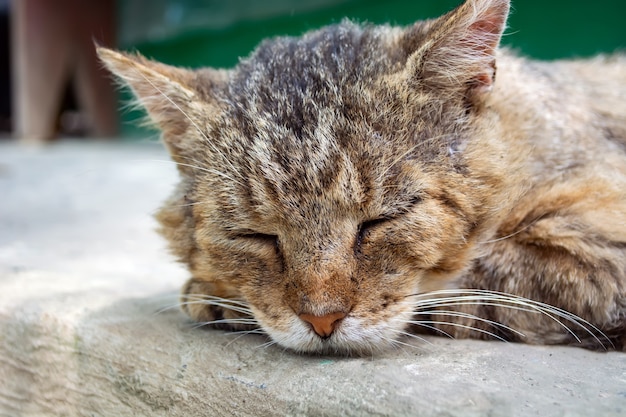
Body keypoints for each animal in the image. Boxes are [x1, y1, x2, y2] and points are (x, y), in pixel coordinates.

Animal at [97, 0, 624, 354]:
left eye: (381, 221)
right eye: (254, 235)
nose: (322, 321)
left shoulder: (599, 254)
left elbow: (479, 280)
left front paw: (212, 295)